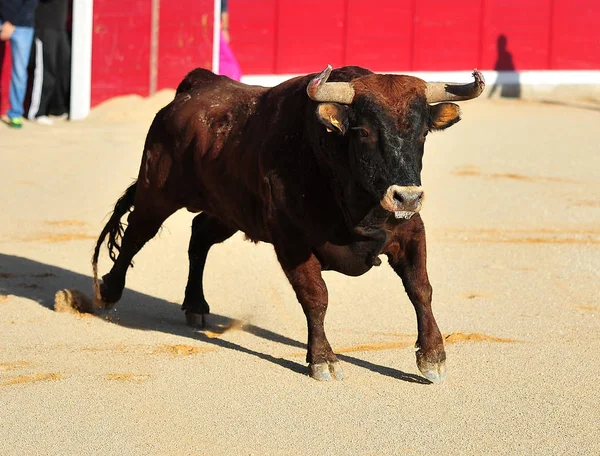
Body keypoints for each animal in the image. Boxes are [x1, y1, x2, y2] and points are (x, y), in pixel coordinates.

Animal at [91, 65, 486, 382]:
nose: (407, 197)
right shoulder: (292, 241)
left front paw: (433, 357)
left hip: (230, 211)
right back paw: (108, 292)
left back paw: (196, 305)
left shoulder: (410, 231)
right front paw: (323, 360)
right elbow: (316, 297)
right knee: (137, 234)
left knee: (199, 235)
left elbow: (421, 288)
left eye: (422, 134)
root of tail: (195, 87)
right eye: (364, 132)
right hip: (157, 191)